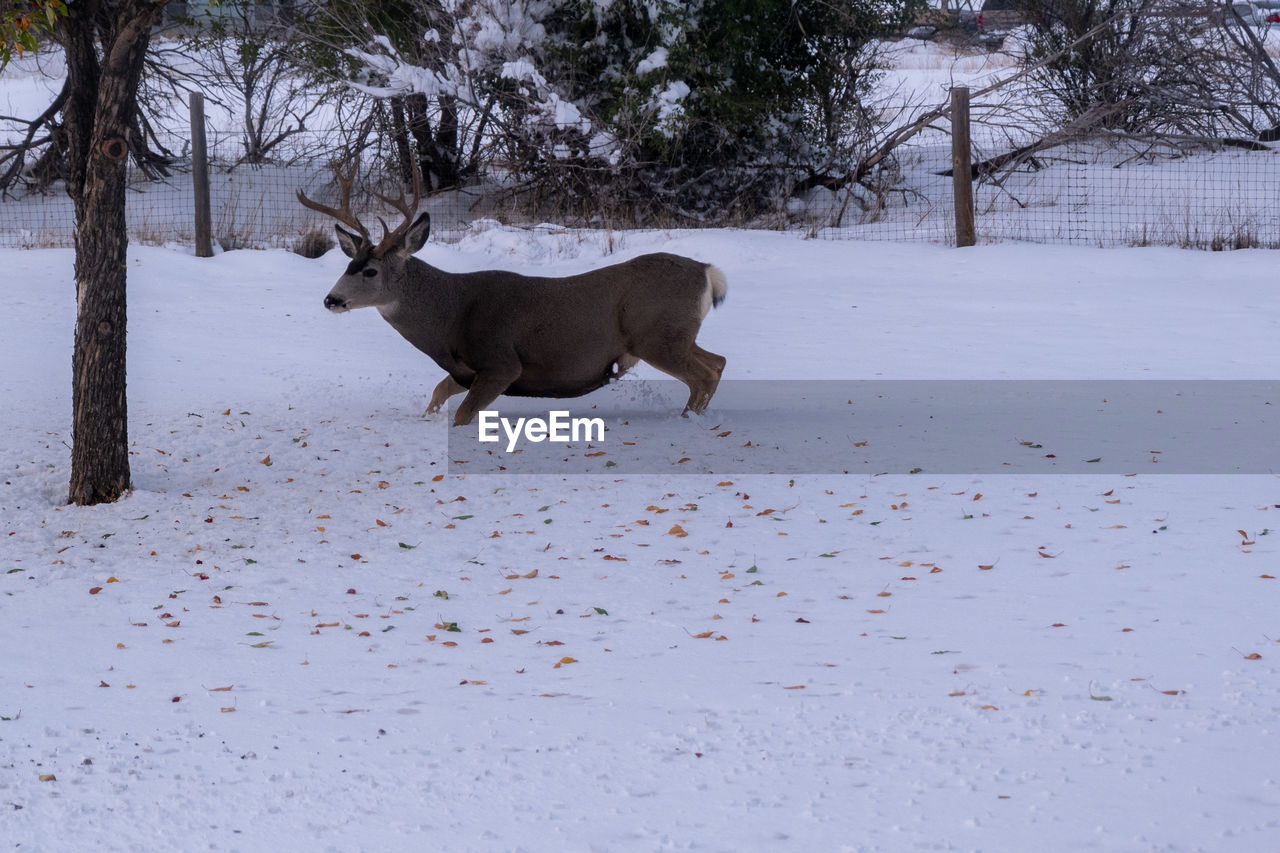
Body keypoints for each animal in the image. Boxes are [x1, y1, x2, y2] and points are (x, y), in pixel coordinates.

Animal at [293, 166, 727, 427]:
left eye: (370, 271)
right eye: (348, 264)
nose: (331, 300)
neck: (450, 317)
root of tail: (707, 272)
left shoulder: (502, 362)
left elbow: (462, 416)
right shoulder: (465, 370)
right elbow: (436, 394)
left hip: (655, 335)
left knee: (703, 374)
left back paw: (688, 421)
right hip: (675, 335)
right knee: (717, 362)